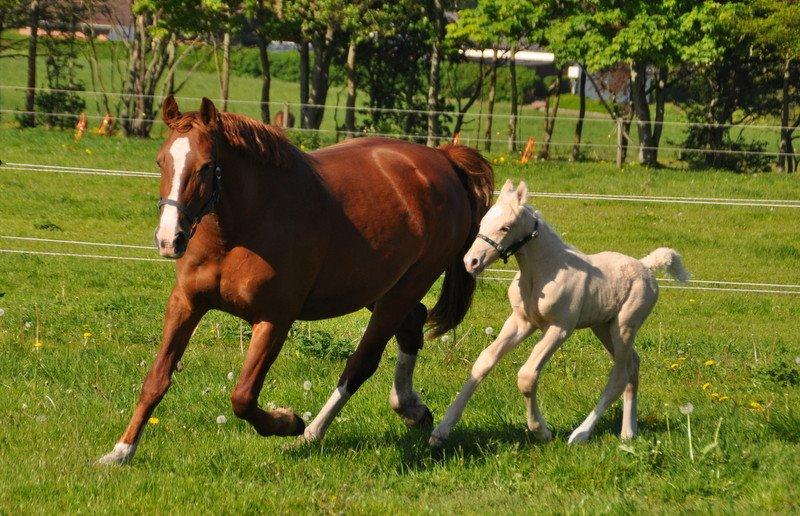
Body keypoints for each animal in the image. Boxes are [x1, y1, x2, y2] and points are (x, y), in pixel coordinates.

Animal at [97, 97, 490, 464]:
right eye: (161, 161)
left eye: (206, 167)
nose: (169, 239)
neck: (239, 232)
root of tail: (442, 159)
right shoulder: (186, 303)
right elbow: (156, 380)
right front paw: (120, 451)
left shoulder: (274, 319)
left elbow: (243, 397)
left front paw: (288, 421)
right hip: (377, 288)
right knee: (412, 325)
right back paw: (412, 409)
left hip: (406, 287)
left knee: (361, 363)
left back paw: (312, 432)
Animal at [432, 179, 688, 446]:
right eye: (482, 223)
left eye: (505, 227)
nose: (471, 262)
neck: (541, 273)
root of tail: (647, 267)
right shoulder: (521, 322)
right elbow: (483, 362)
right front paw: (441, 431)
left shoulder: (560, 328)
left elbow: (527, 375)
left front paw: (541, 431)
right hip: (603, 326)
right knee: (633, 365)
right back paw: (628, 432)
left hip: (625, 326)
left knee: (619, 376)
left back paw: (580, 434)